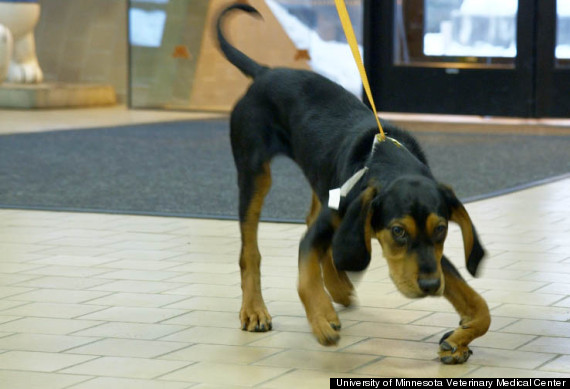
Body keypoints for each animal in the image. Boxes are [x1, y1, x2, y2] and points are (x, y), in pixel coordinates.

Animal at [215, 3, 490, 362]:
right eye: (398, 231)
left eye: (442, 229)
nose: (431, 287)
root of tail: (265, 72)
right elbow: (305, 272)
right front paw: (321, 319)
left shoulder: (435, 257)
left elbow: (481, 308)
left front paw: (457, 341)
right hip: (254, 171)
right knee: (251, 249)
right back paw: (255, 309)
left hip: (320, 178)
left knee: (316, 226)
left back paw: (338, 286)